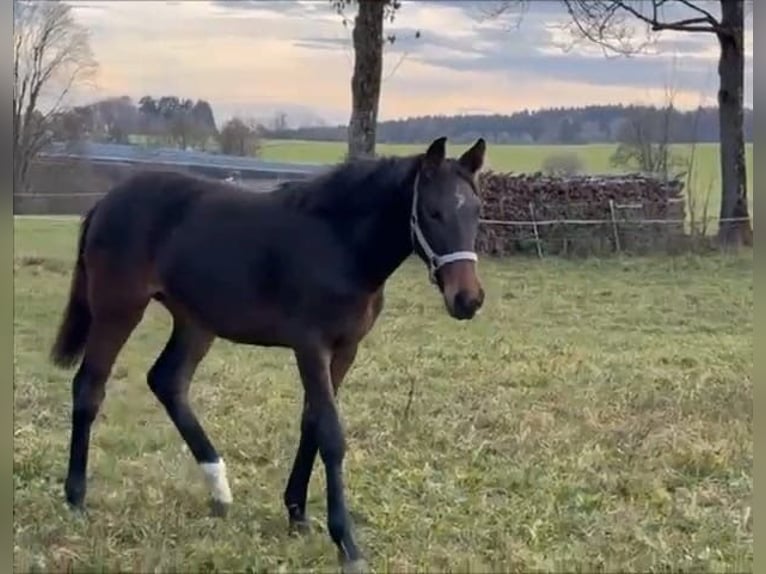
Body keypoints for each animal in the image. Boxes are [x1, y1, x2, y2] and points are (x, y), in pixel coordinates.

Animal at [49, 136, 487, 571]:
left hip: (195, 321)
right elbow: (330, 433)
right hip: (118, 309)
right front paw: (346, 543)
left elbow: (311, 423)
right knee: (90, 387)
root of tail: (106, 202)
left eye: (476, 211)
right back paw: (76, 497)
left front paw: (297, 513)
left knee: (167, 381)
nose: (468, 300)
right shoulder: (311, 346)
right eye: (431, 212)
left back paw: (219, 489)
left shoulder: (346, 349)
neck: (340, 243)